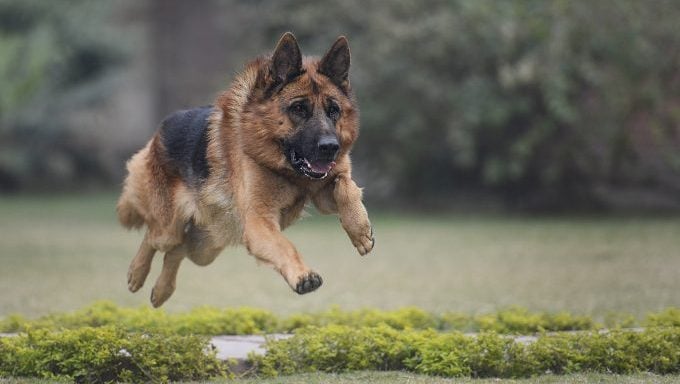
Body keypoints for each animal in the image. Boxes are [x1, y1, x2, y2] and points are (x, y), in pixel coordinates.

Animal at [117, 33, 372, 308]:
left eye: (333, 110)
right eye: (298, 109)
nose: (330, 147)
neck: (288, 171)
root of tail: (157, 134)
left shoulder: (326, 189)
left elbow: (346, 185)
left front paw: (360, 230)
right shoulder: (259, 222)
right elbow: (284, 246)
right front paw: (303, 275)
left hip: (206, 246)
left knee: (176, 250)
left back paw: (161, 290)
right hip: (170, 229)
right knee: (153, 236)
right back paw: (136, 273)